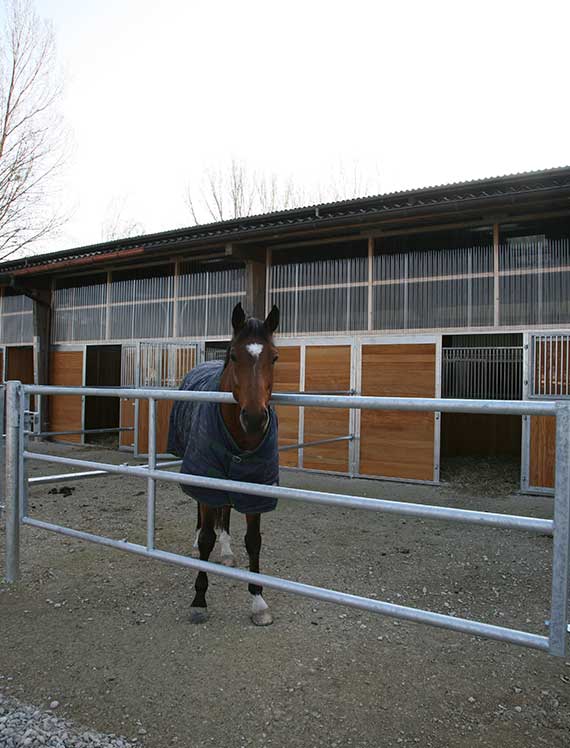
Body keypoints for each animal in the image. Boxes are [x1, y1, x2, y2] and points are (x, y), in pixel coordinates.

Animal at [165, 302, 278, 624]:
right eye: (235, 355)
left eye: (274, 357)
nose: (255, 419)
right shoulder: (206, 476)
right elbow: (206, 538)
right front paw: (199, 600)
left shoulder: (254, 485)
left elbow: (254, 541)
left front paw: (258, 602)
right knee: (201, 515)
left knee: (225, 510)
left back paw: (227, 551)